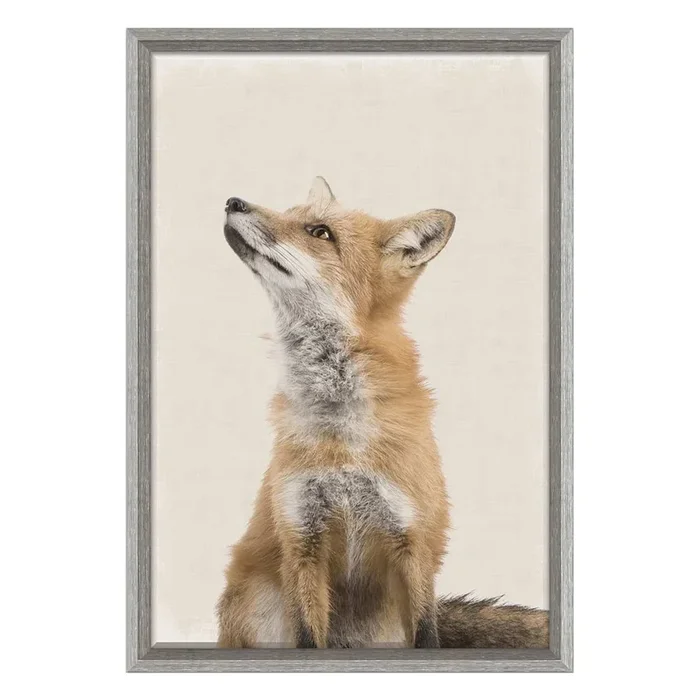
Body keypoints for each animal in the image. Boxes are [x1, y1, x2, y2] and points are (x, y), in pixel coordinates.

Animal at [216, 177, 549, 649]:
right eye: (290, 212)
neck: (343, 435)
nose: (233, 201)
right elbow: (308, 636)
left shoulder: (414, 542)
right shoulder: (302, 541)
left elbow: (428, 634)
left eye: (320, 232)